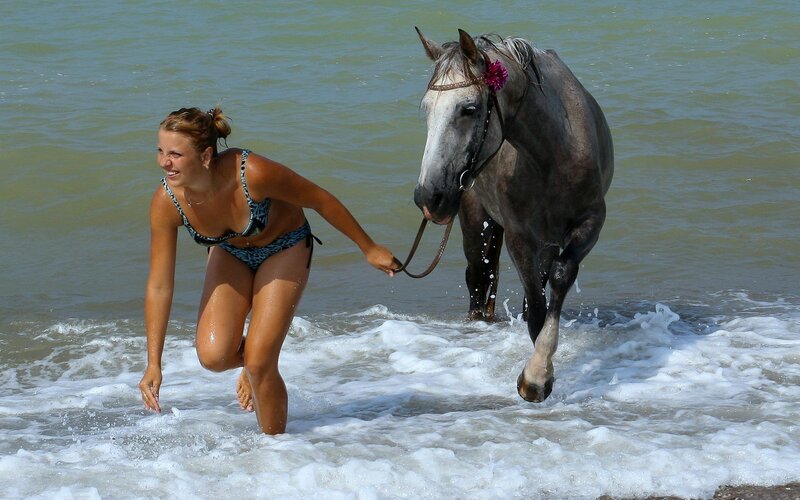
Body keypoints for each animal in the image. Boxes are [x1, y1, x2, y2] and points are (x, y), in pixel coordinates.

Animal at [413, 28, 614, 403]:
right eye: (427, 109)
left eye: (469, 108)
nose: (428, 197)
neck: (551, 156)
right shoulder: (520, 236)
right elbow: (535, 306)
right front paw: (537, 377)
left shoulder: (590, 222)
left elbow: (560, 278)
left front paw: (538, 372)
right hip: (478, 227)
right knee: (479, 280)